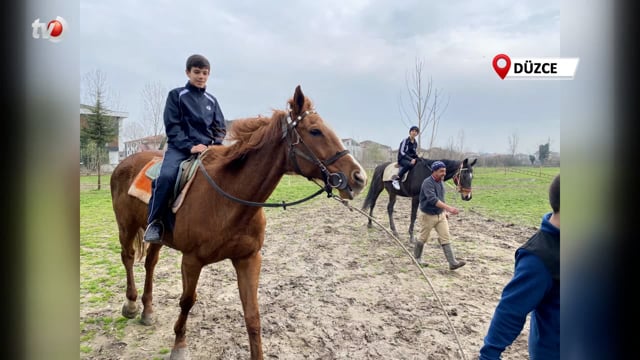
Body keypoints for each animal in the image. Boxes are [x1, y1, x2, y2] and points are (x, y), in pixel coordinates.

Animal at [111, 86, 364, 358]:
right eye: (315, 131)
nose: (359, 177)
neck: (229, 198)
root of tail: (124, 163)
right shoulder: (191, 260)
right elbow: (187, 301)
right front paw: (179, 345)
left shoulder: (248, 258)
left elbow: (252, 315)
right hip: (126, 226)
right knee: (128, 257)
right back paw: (131, 305)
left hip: (157, 235)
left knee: (150, 263)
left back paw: (147, 311)